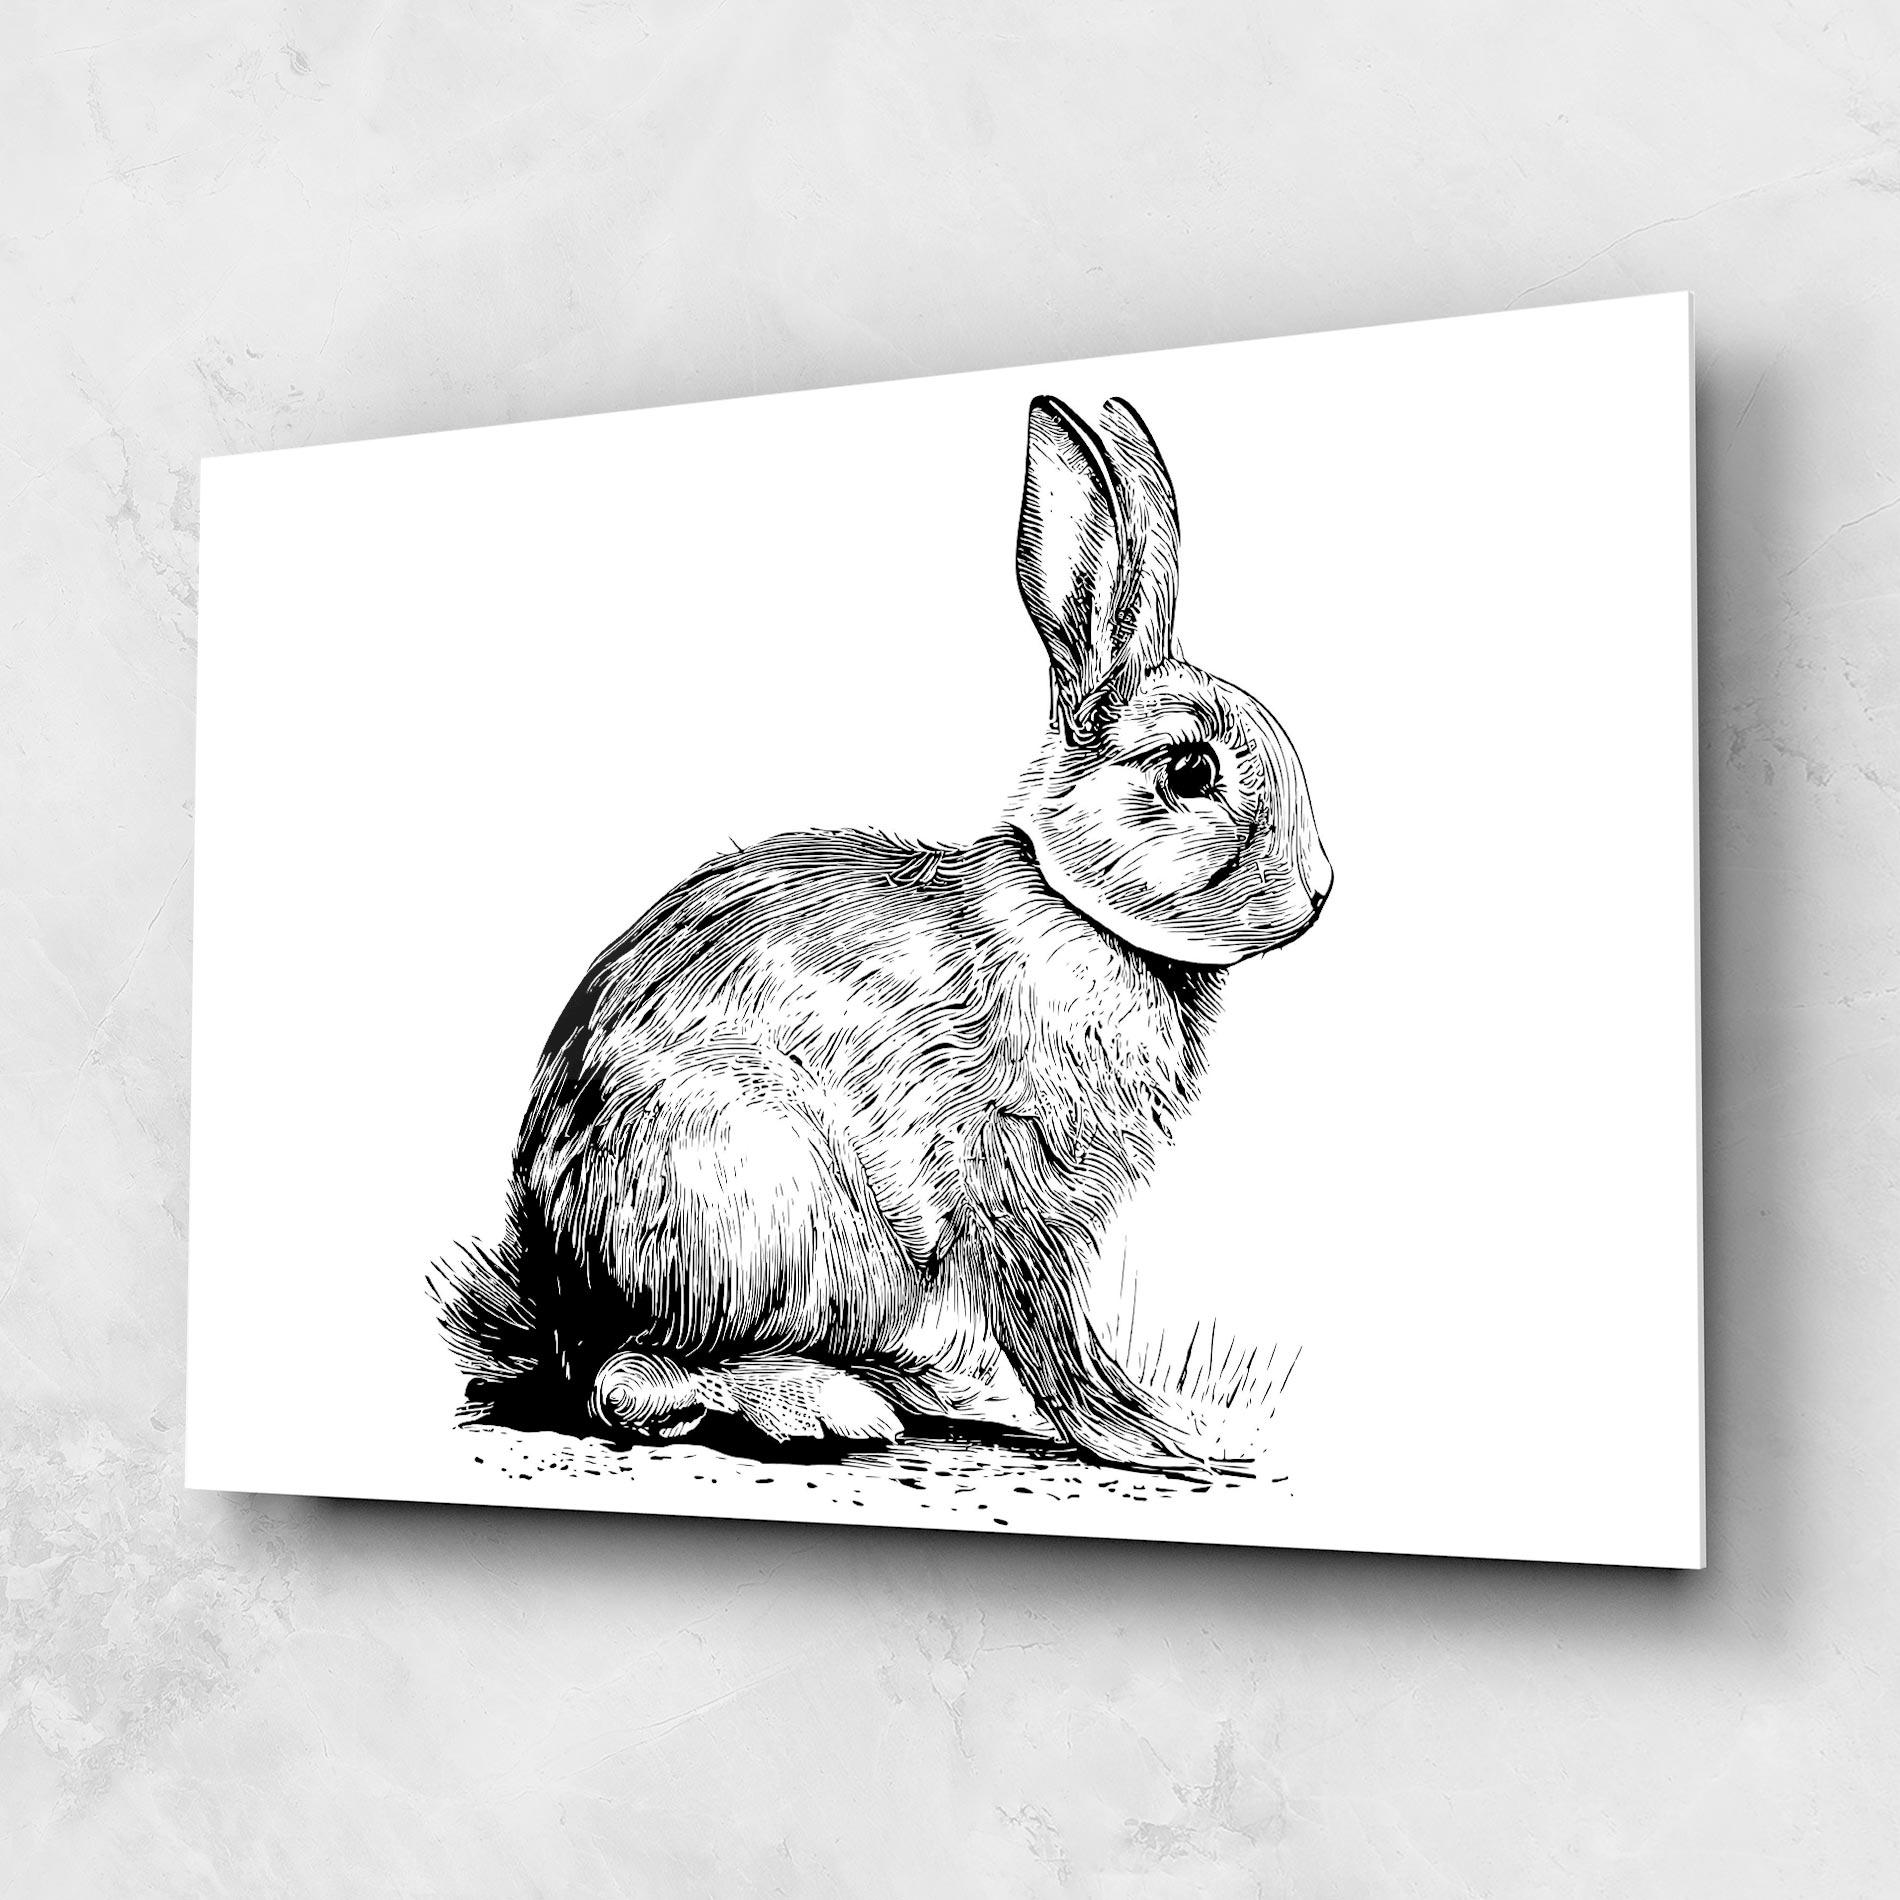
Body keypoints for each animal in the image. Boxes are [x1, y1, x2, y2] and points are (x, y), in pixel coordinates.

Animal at [430, 394, 1331, 1472]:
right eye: (1190, 771)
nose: (1320, 891)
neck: (1078, 910)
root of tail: (560, 1285)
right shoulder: (1014, 1188)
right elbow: (1053, 1332)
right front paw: (1149, 1434)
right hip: (754, 1190)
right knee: (635, 1378)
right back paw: (820, 1406)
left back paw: (906, 1383)